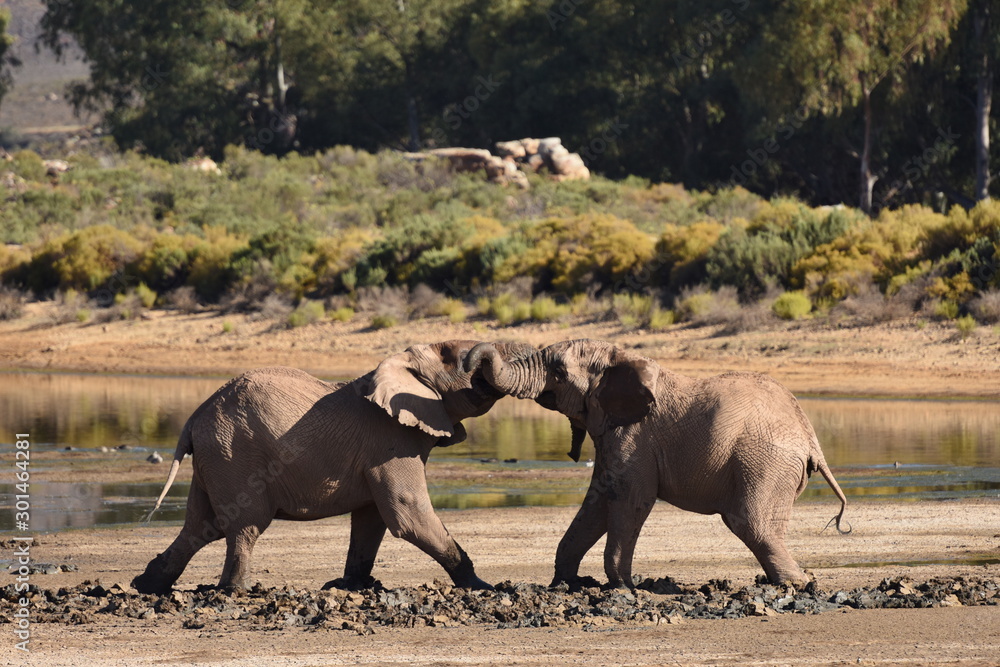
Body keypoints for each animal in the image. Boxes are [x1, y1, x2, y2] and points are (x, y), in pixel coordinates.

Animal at [131, 340, 534, 594]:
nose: (476, 361)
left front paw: (351, 586)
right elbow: (407, 513)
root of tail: (194, 417)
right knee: (243, 525)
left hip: (215, 457)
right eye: (454, 357)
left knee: (202, 526)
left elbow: (372, 519)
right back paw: (234, 591)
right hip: (233, 453)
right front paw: (483, 587)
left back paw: (147, 585)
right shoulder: (391, 439)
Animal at [464, 338, 850, 588]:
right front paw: (568, 582)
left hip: (765, 462)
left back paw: (798, 583)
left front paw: (622, 586)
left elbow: (631, 499)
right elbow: (597, 503)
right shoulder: (611, 432)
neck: (620, 358)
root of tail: (808, 435)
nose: (470, 366)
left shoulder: (635, 437)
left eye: (557, 371)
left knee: (749, 522)